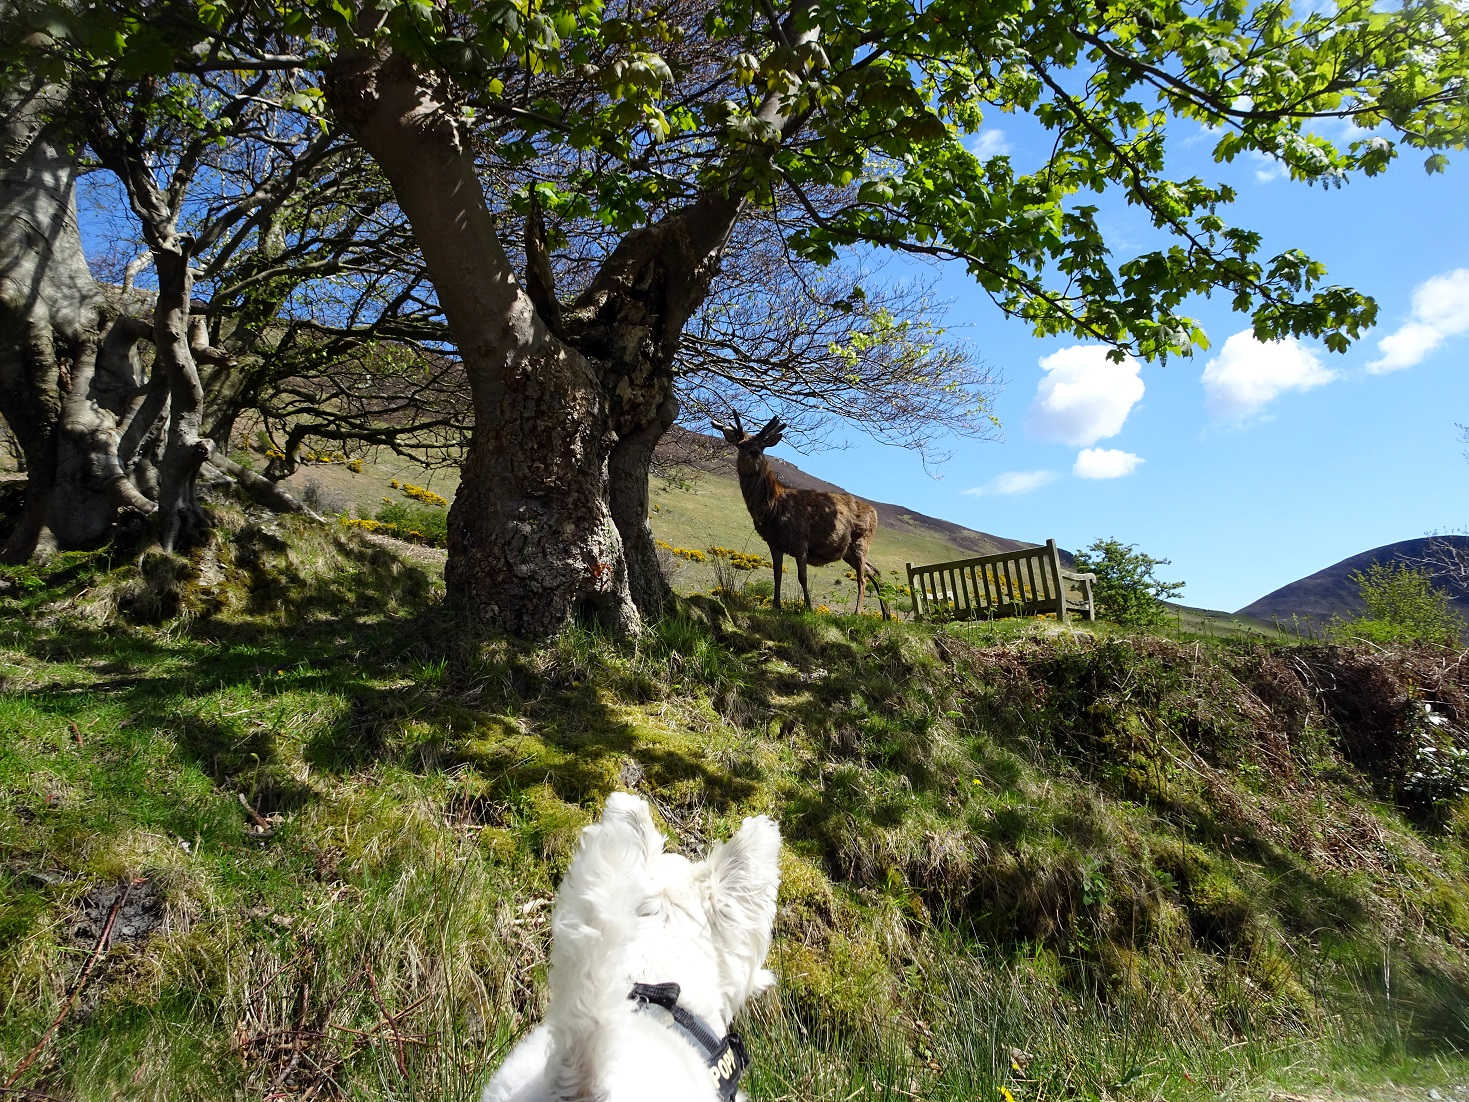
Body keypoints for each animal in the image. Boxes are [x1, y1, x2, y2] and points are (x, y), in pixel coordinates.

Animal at [708, 414, 887, 622]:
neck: (773, 509)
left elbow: (803, 577)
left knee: (862, 578)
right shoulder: (774, 544)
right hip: (847, 551)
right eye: (739, 445)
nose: (741, 463)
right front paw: (776, 605)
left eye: (756, 450)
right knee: (873, 572)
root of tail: (875, 513)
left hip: (861, 542)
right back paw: (887, 615)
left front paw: (808, 607)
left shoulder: (801, 542)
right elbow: (777, 574)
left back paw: (857, 612)